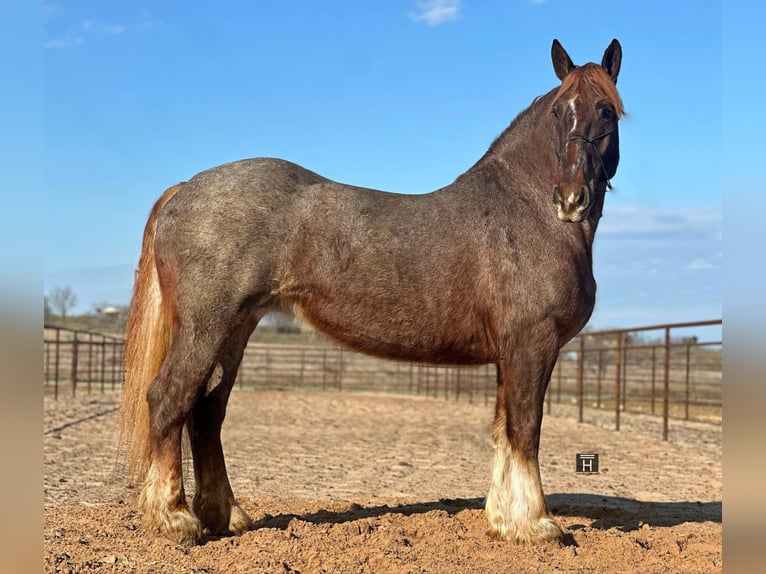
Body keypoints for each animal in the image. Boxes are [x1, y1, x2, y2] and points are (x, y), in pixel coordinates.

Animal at [118, 38, 624, 545]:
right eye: (559, 111)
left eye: (606, 110)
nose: (570, 199)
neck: (527, 212)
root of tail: (185, 189)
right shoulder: (532, 343)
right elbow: (525, 428)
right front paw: (536, 525)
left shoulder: (511, 352)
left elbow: (504, 428)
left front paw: (503, 520)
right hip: (206, 328)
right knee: (168, 400)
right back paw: (174, 518)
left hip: (235, 330)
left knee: (206, 413)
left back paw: (225, 516)